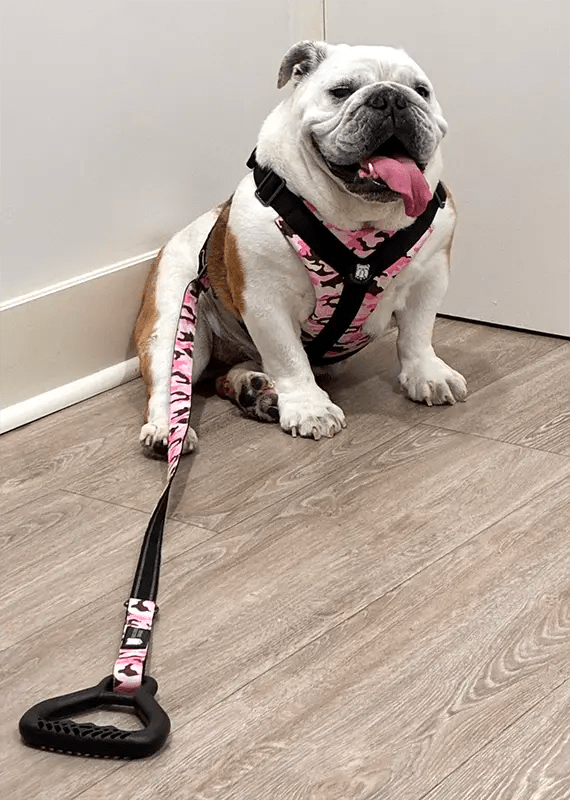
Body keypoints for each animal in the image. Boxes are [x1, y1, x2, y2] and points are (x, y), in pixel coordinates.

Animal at [134, 41, 467, 456]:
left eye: (421, 91)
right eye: (341, 91)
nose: (391, 98)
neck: (362, 220)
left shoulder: (430, 277)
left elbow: (417, 333)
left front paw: (428, 374)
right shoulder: (267, 301)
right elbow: (289, 358)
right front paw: (310, 408)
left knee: (234, 373)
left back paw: (253, 390)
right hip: (172, 326)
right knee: (171, 382)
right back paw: (168, 430)